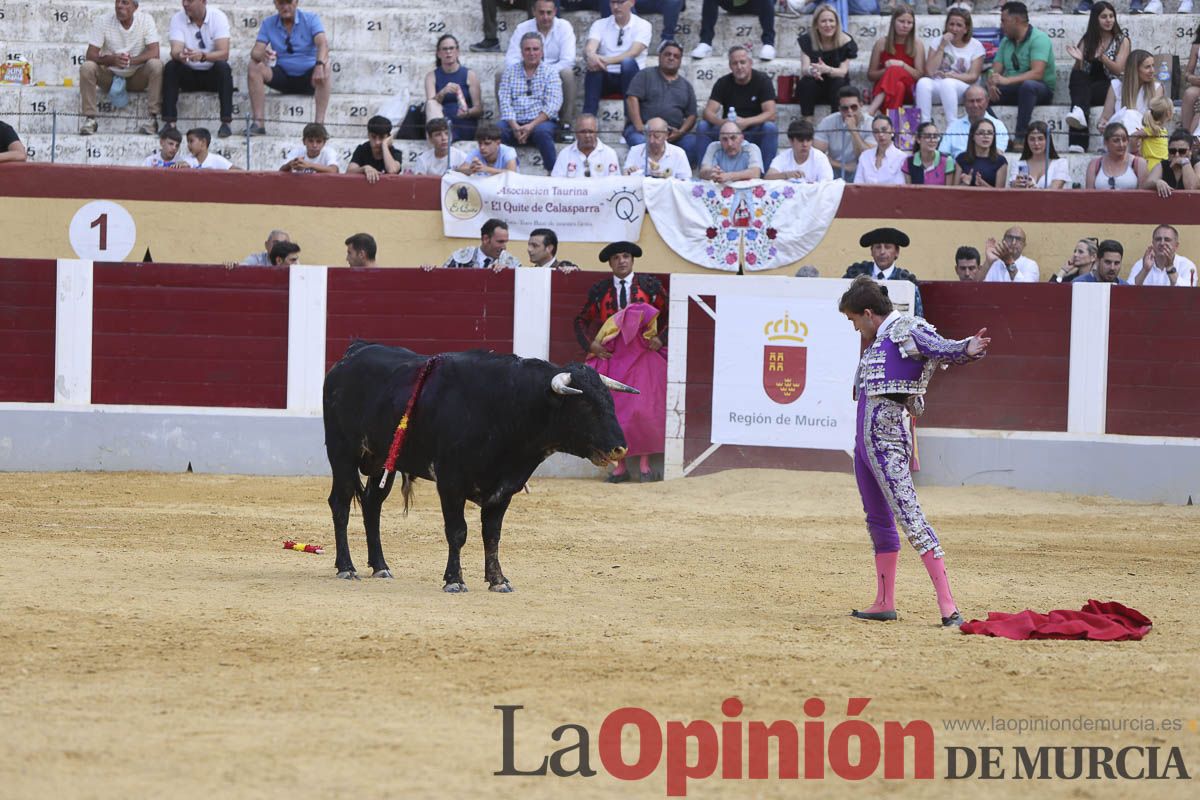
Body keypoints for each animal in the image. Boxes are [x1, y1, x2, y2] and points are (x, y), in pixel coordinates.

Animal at [319, 340, 638, 592]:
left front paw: (498, 580)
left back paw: (380, 566)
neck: (508, 406)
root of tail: (352, 353)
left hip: (381, 462)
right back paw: (347, 567)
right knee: (340, 504)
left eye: (609, 401)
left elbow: (492, 534)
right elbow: (457, 531)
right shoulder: (450, 483)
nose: (620, 448)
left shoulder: (504, 487)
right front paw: (454, 581)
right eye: (584, 406)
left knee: (372, 505)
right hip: (342, 454)